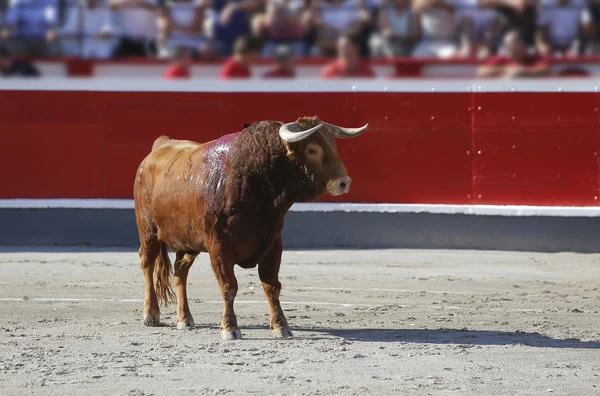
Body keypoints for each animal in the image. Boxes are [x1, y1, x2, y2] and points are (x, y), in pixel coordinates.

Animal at [134, 115, 368, 340]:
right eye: (312, 149)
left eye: (332, 145)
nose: (344, 182)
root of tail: (160, 146)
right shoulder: (219, 246)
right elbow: (229, 286)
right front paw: (230, 328)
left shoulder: (273, 243)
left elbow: (271, 286)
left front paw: (281, 327)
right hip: (148, 231)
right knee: (147, 263)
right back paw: (151, 314)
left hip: (187, 241)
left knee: (180, 271)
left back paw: (184, 319)